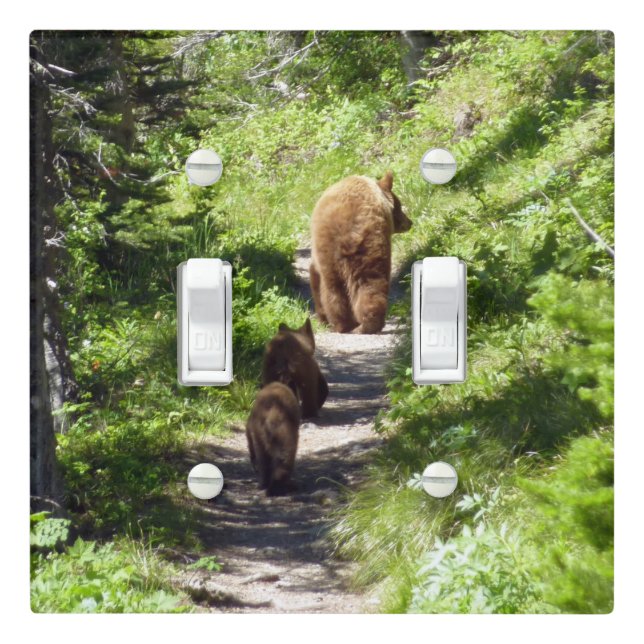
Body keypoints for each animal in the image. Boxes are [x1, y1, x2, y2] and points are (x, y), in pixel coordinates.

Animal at [309, 170, 412, 334]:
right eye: (400, 205)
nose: (409, 222)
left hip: (342, 251)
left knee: (337, 288)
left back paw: (346, 325)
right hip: (365, 247)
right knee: (367, 283)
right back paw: (361, 324)